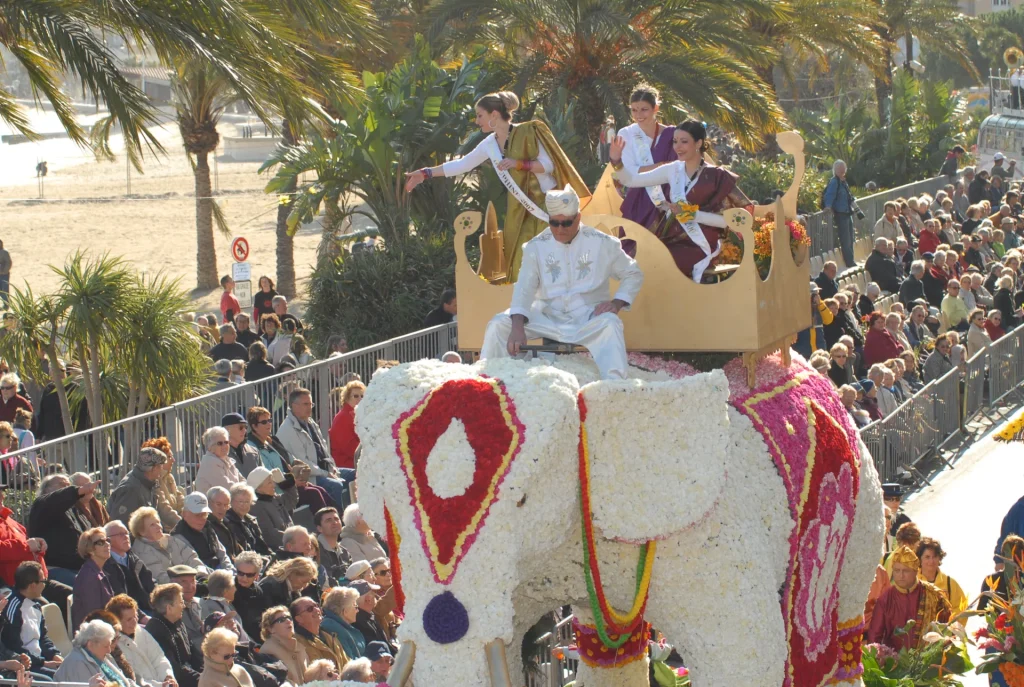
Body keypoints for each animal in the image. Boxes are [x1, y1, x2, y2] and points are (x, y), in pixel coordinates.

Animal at [356, 354, 884, 687]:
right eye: (389, 508)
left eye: (523, 499)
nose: (442, 619)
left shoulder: (716, 533)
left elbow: (746, 661)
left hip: (861, 505)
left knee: (843, 627)